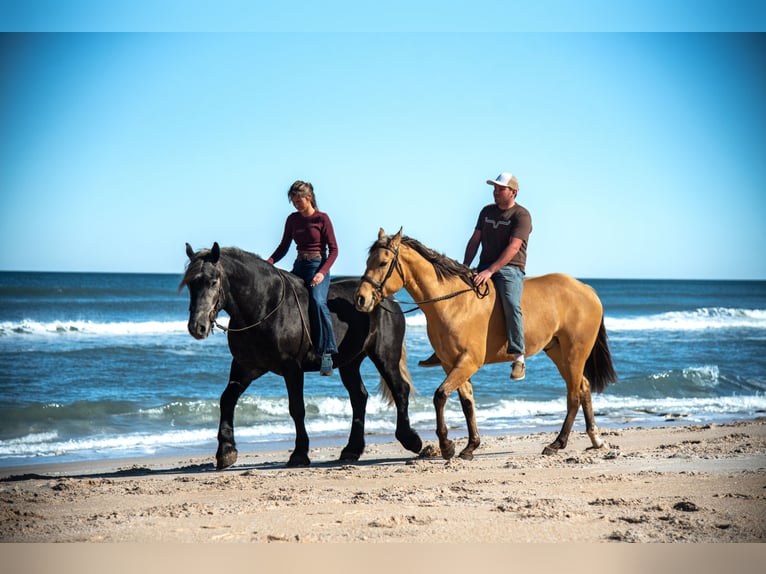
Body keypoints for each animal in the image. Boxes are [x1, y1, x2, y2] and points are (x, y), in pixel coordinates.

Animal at [180, 242, 423, 469]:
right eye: (191, 283)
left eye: (213, 281)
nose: (197, 327)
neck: (264, 306)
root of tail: (388, 299)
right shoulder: (246, 366)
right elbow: (227, 400)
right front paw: (226, 451)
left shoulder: (292, 368)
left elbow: (297, 408)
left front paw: (299, 453)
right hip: (350, 362)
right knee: (359, 397)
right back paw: (352, 449)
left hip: (385, 355)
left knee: (400, 389)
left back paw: (410, 440)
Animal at [354, 228, 617, 461]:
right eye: (367, 260)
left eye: (383, 263)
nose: (361, 299)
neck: (452, 303)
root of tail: (587, 289)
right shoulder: (451, 364)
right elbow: (466, 402)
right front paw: (470, 447)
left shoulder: (468, 362)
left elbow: (440, 396)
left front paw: (447, 445)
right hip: (558, 351)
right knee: (583, 387)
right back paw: (595, 440)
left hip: (575, 353)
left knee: (573, 394)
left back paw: (557, 444)